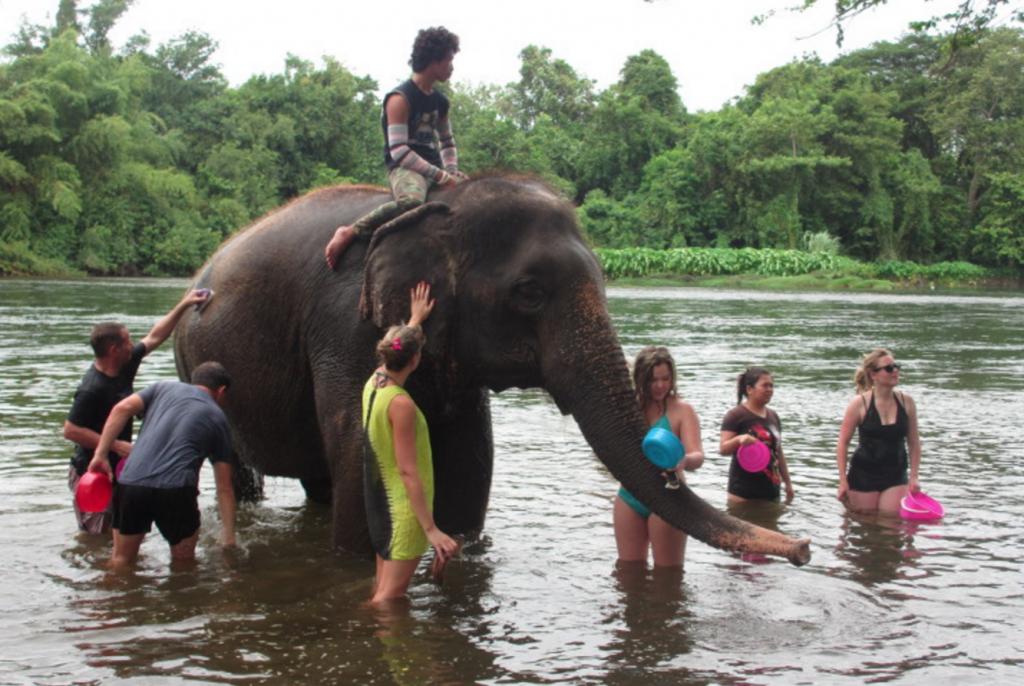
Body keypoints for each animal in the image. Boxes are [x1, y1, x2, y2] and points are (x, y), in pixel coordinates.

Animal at [176, 175, 811, 565]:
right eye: (529, 292)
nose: (804, 547)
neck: (445, 205)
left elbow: (471, 460)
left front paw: (458, 544)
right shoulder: (346, 324)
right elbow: (361, 450)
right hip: (196, 367)